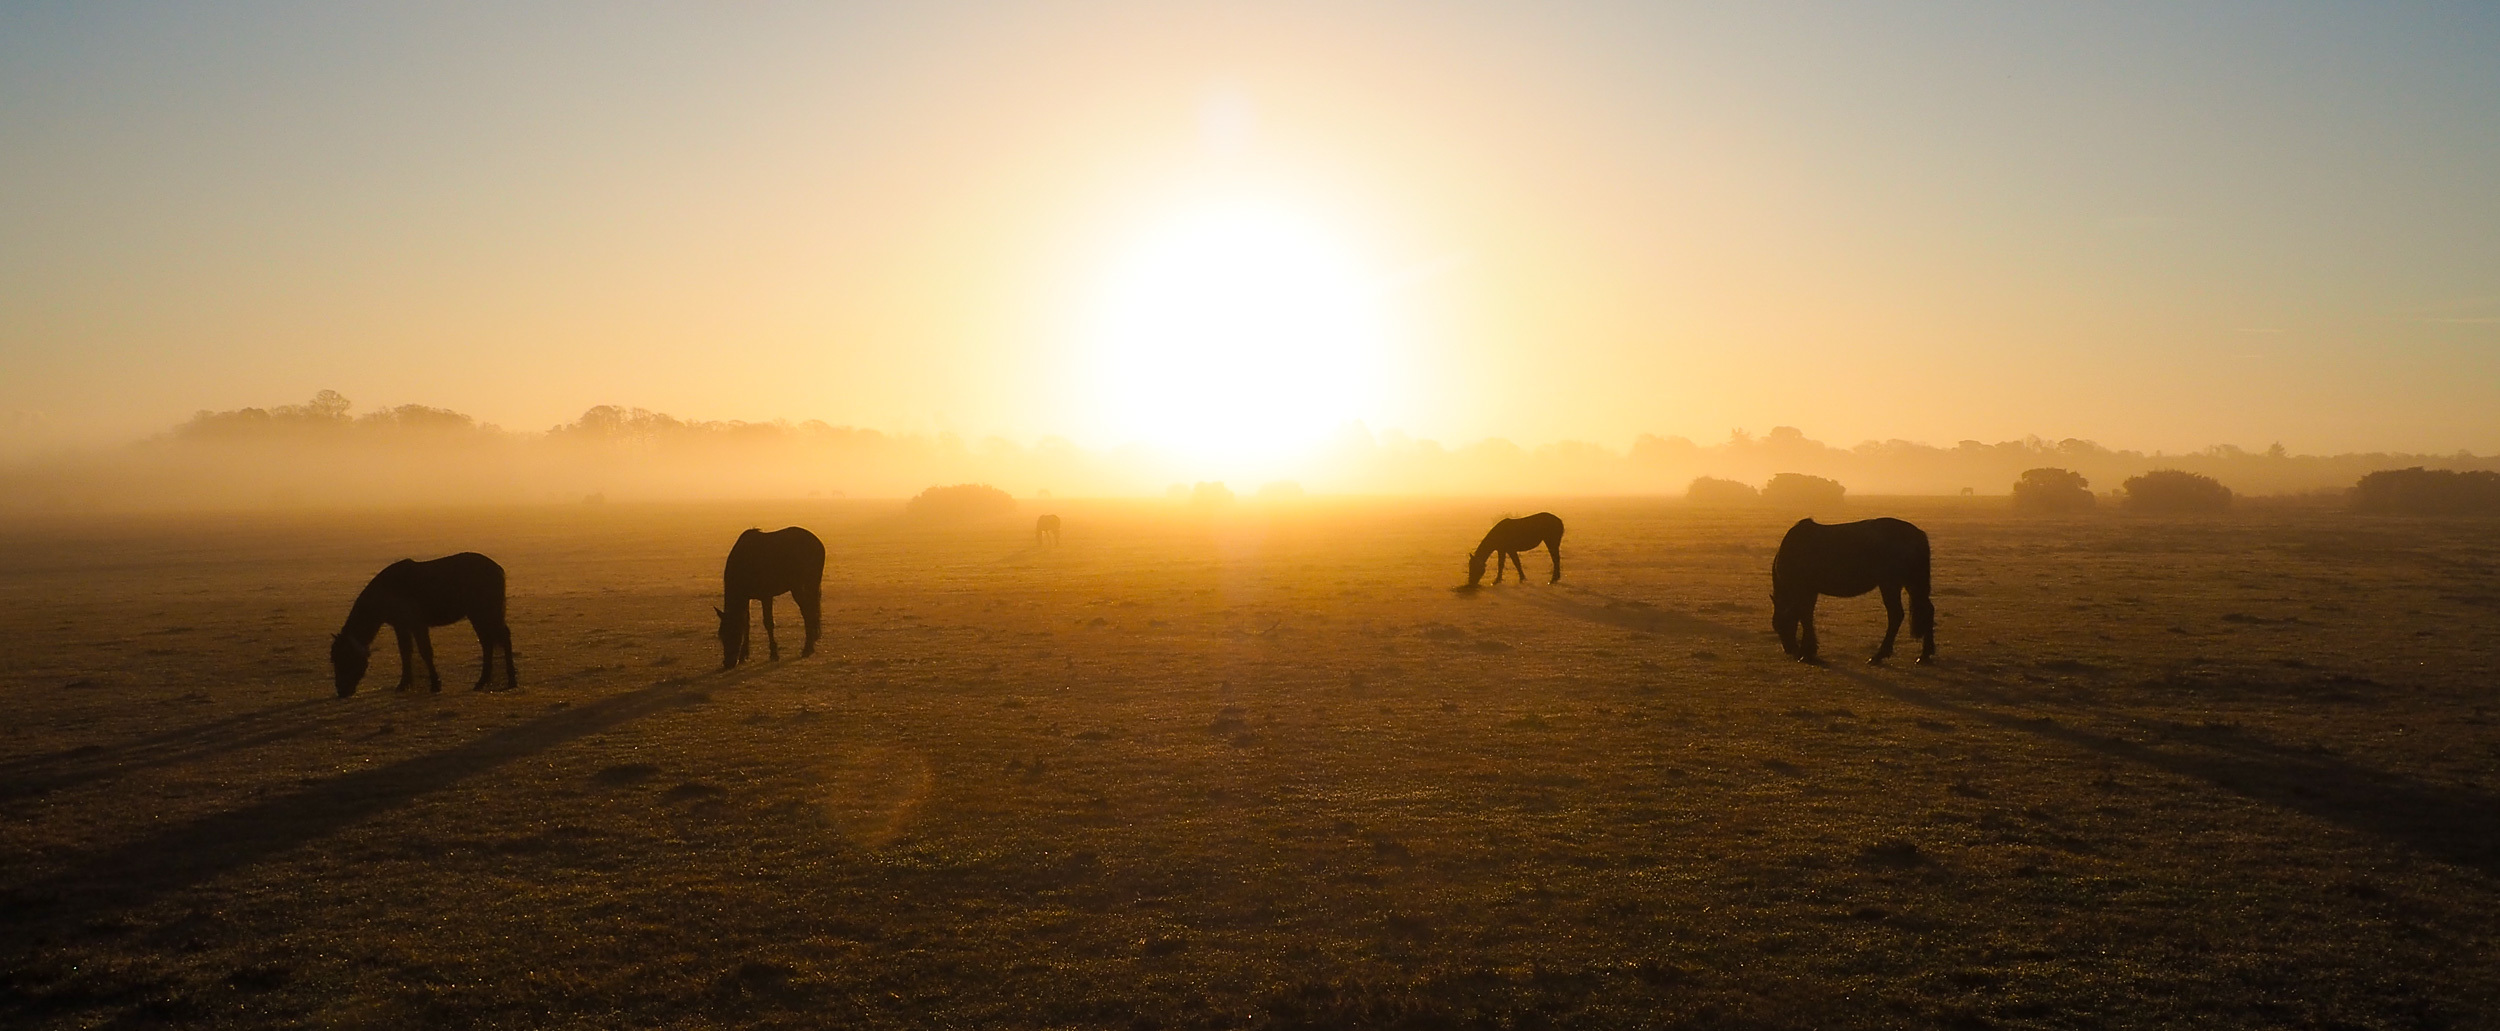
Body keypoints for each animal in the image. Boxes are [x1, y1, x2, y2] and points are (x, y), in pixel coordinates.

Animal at [330, 552, 516, 697]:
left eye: (344, 659)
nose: (341, 691)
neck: (385, 593)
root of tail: (499, 570)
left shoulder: (417, 624)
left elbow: (425, 651)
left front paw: (435, 684)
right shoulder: (401, 626)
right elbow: (405, 653)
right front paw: (403, 685)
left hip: (483, 612)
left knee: (499, 638)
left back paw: (509, 681)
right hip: (481, 613)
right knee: (489, 641)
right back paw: (485, 681)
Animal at [718, 527, 824, 669]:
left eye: (734, 634)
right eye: (722, 636)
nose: (728, 663)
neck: (744, 563)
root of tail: (817, 542)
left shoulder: (766, 596)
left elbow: (768, 623)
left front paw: (774, 653)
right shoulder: (747, 598)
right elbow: (746, 624)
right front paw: (744, 655)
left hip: (802, 586)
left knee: (808, 613)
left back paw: (807, 648)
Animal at [1770, 517, 1935, 665]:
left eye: (1782, 624)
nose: (1789, 649)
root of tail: (1918, 534)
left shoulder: (1804, 590)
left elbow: (1804, 617)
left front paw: (1807, 653)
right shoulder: (1811, 592)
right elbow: (1807, 616)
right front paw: (1809, 650)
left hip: (1891, 584)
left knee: (1896, 615)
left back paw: (1879, 656)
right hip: (1912, 583)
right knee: (1927, 610)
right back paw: (1925, 654)